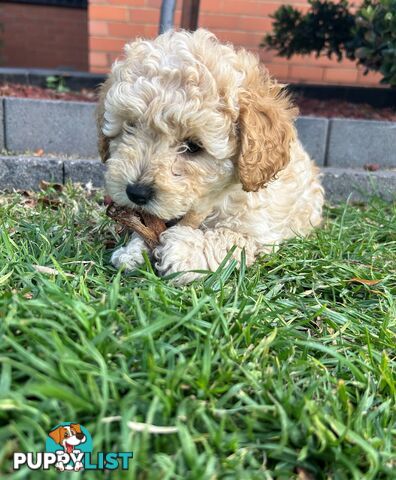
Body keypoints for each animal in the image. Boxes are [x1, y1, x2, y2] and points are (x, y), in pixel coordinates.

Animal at [97, 28, 324, 284]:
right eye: (131, 127)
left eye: (193, 146)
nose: (136, 193)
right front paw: (132, 251)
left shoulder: (257, 233)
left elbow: (227, 238)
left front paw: (183, 251)